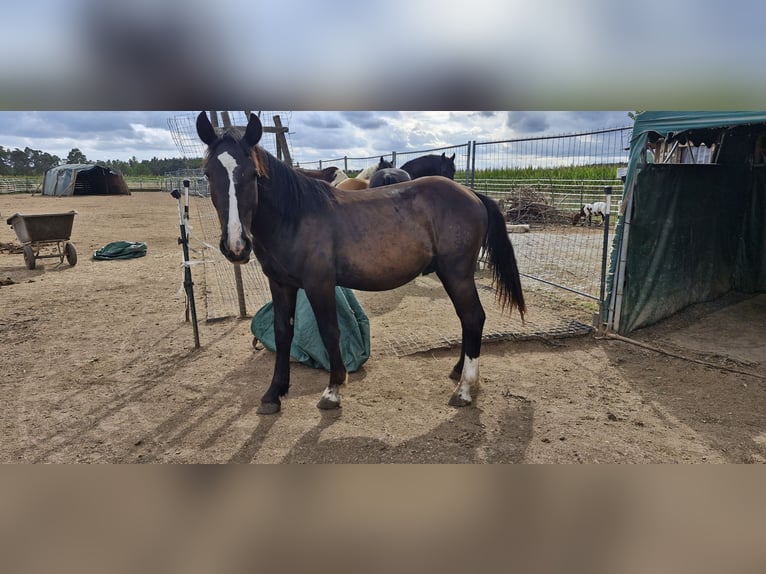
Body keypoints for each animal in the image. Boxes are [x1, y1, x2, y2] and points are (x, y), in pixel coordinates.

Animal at [196, 111, 525, 415]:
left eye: (253, 174)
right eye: (209, 174)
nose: (236, 246)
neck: (296, 217)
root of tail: (471, 194)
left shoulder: (319, 284)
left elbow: (330, 331)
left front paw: (333, 390)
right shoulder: (281, 284)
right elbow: (282, 333)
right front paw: (274, 393)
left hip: (457, 273)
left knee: (473, 317)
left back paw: (466, 389)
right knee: (466, 319)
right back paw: (459, 372)